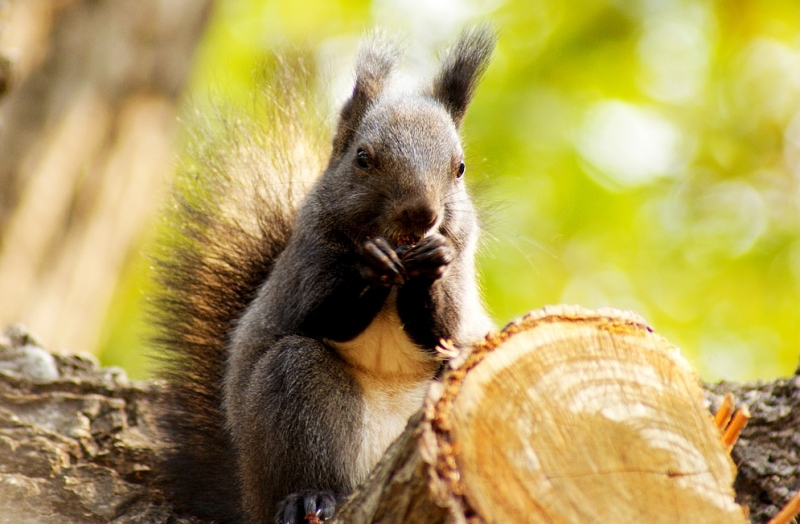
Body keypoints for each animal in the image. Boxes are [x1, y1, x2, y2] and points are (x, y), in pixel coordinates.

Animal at [152, 26, 494, 524]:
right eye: (363, 158)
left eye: (460, 167)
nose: (422, 215)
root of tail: (247, 494)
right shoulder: (304, 266)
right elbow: (320, 314)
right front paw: (371, 265)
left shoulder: (461, 285)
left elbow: (443, 328)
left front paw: (434, 260)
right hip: (296, 390)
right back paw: (309, 497)